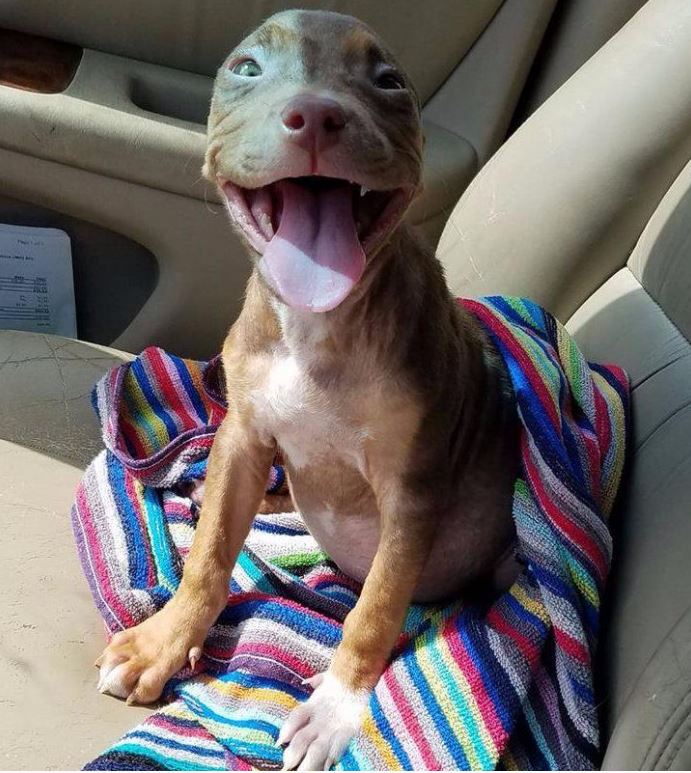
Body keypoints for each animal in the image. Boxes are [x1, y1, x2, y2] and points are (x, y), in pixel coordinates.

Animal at [96, 9, 520, 768]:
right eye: (245, 69)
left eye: (389, 82)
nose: (318, 114)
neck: (317, 327)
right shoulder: (241, 436)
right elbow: (208, 556)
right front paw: (163, 642)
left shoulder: (413, 491)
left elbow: (375, 608)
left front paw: (336, 710)